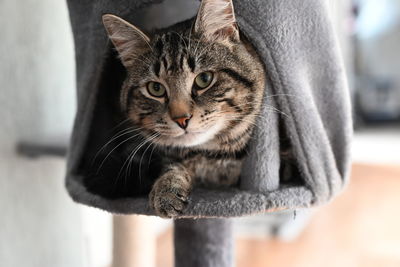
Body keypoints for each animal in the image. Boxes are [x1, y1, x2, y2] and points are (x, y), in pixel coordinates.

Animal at [101, 0, 268, 218]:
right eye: (155, 89)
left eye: (204, 79)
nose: (182, 119)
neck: (212, 157)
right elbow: (172, 165)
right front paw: (166, 188)